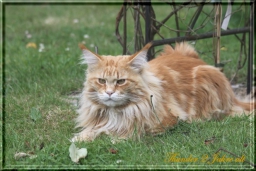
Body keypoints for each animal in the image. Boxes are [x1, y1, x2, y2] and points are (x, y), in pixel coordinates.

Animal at [71, 42, 254, 141]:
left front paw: (115, 138)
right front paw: (81, 138)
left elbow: (131, 130)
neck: (116, 112)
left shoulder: (166, 121)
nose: (109, 93)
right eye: (101, 81)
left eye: (121, 81)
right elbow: (90, 131)